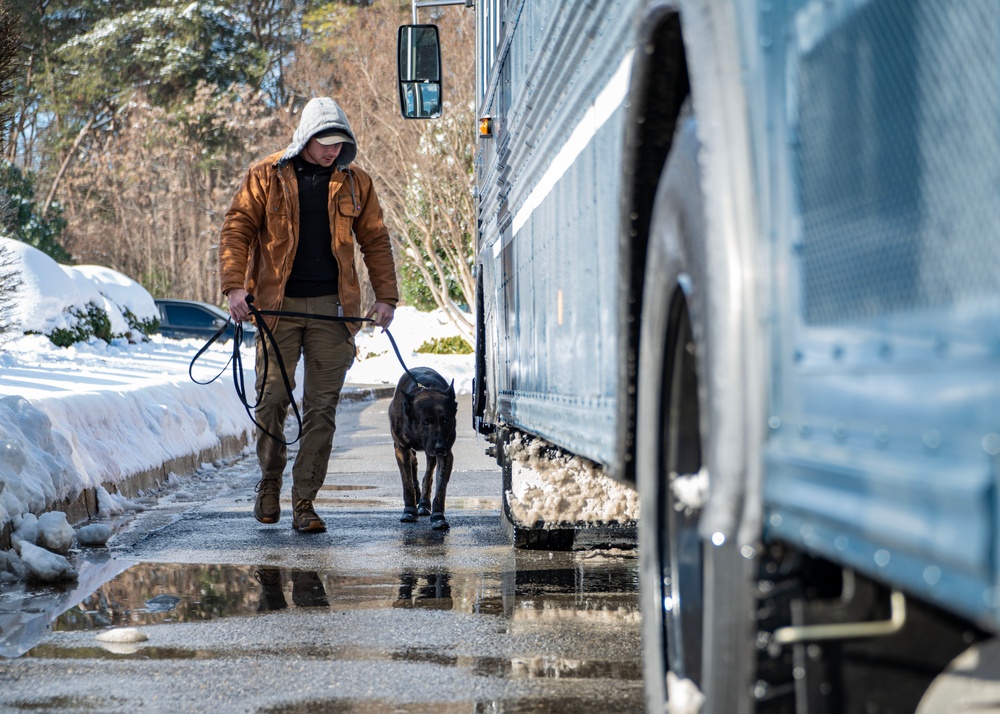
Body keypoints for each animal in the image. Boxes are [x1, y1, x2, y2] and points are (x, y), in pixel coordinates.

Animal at [388, 368, 458, 528]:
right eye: (426, 422)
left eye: (445, 421)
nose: (440, 447)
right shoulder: (401, 448)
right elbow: (406, 483)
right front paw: (409, 510)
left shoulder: (446, 455)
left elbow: (441, 488)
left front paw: (438, 516)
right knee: (413, 464)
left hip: (431, 453)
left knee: (428, 475)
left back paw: (424, 503)